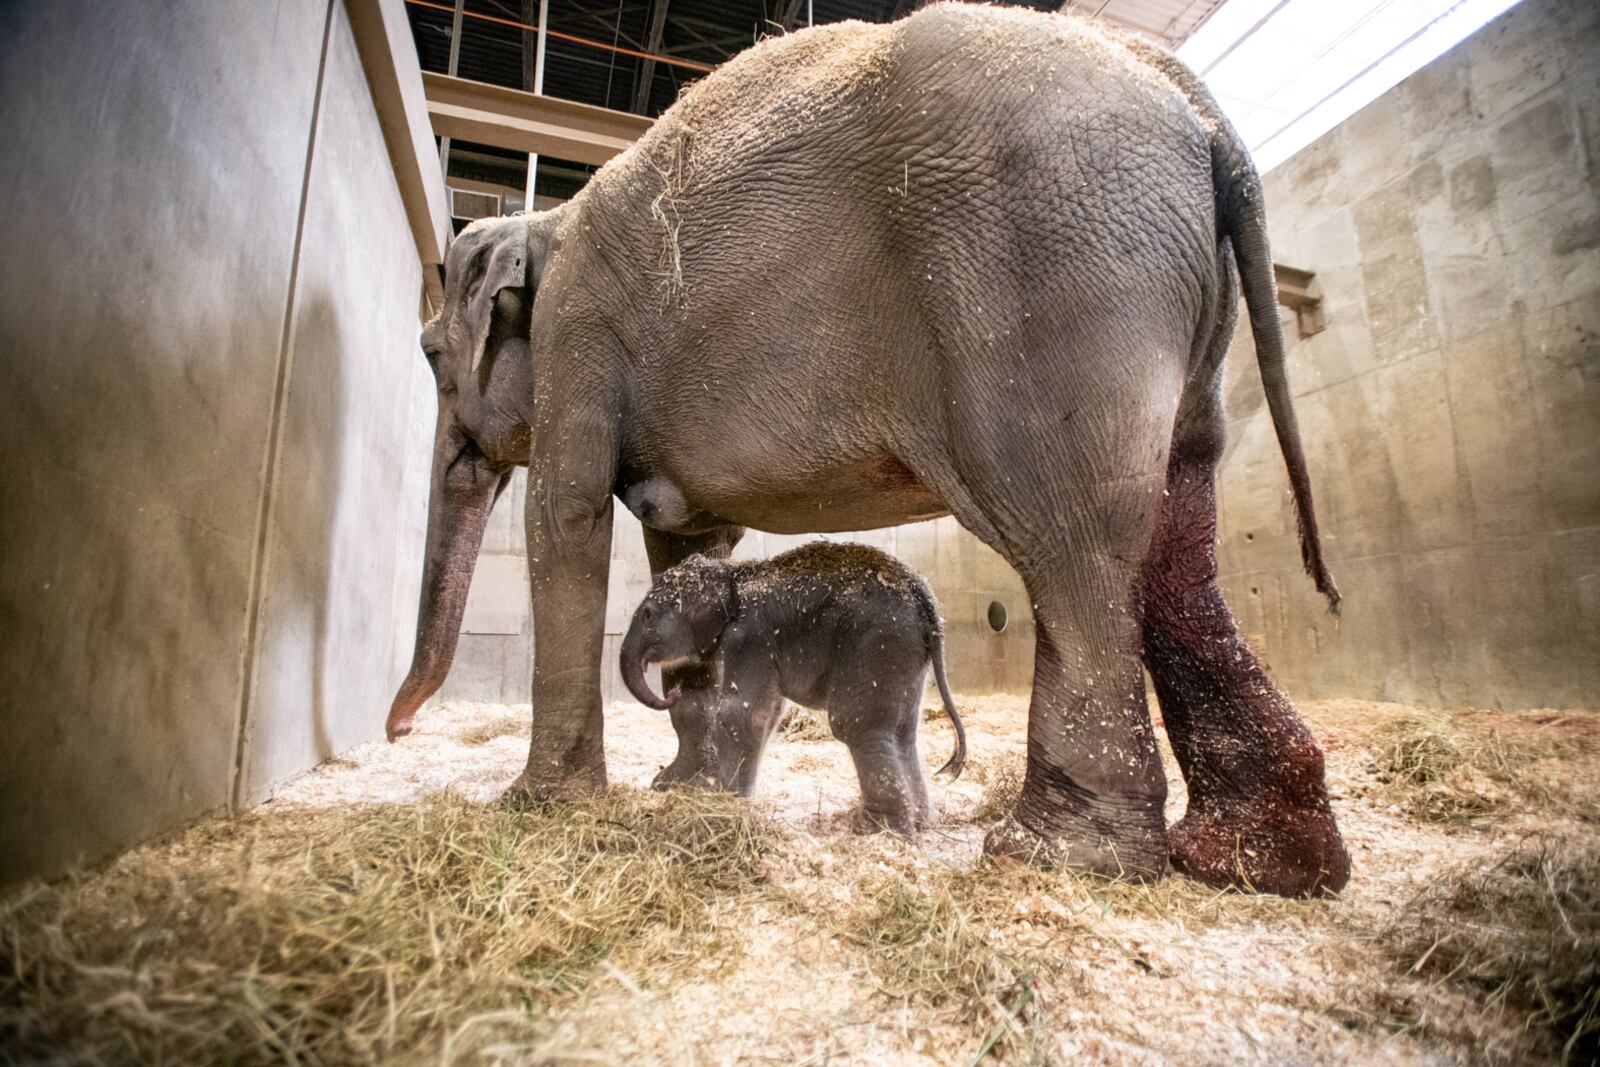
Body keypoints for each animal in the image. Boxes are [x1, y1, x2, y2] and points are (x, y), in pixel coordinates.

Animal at [614, 543, 960, 831]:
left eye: (648, 615)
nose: (672, 694)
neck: (732, 574)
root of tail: (928, 605)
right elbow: (768, 715)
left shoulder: (749, 638)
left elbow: (739, 715)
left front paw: (727, 803)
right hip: (907, 652)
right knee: (902, 731)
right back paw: (919, 822)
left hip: (877, 641)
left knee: (856, 724)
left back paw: (878, 827)